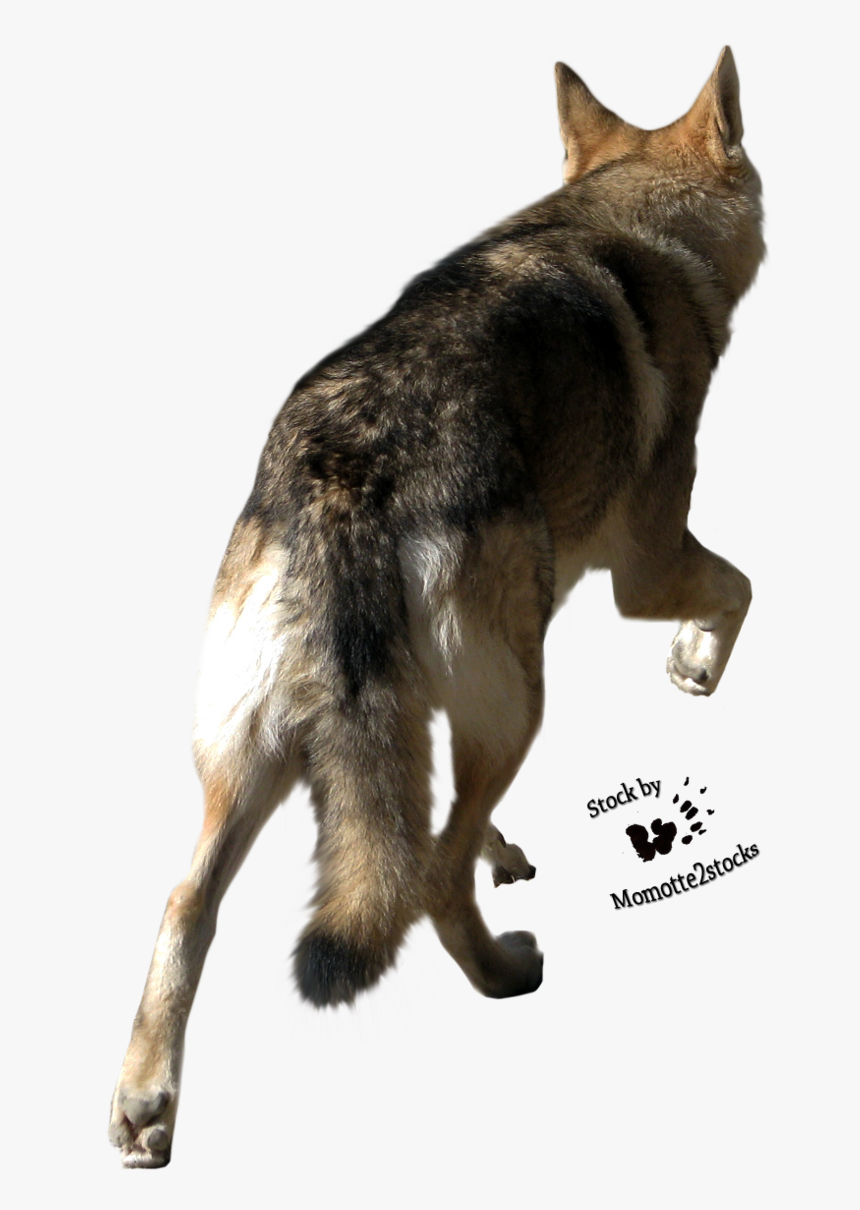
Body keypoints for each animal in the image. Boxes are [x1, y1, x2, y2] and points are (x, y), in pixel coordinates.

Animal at [109, 48, 764, 1166]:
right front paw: (696, 667)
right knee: (430, 874)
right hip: (520, 703)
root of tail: (340, 480)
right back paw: (505, 972)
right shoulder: (642, 571)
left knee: (195, 899)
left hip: (261, 755)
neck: (631, 218)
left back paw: (146, 1104)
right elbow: (742, 586)